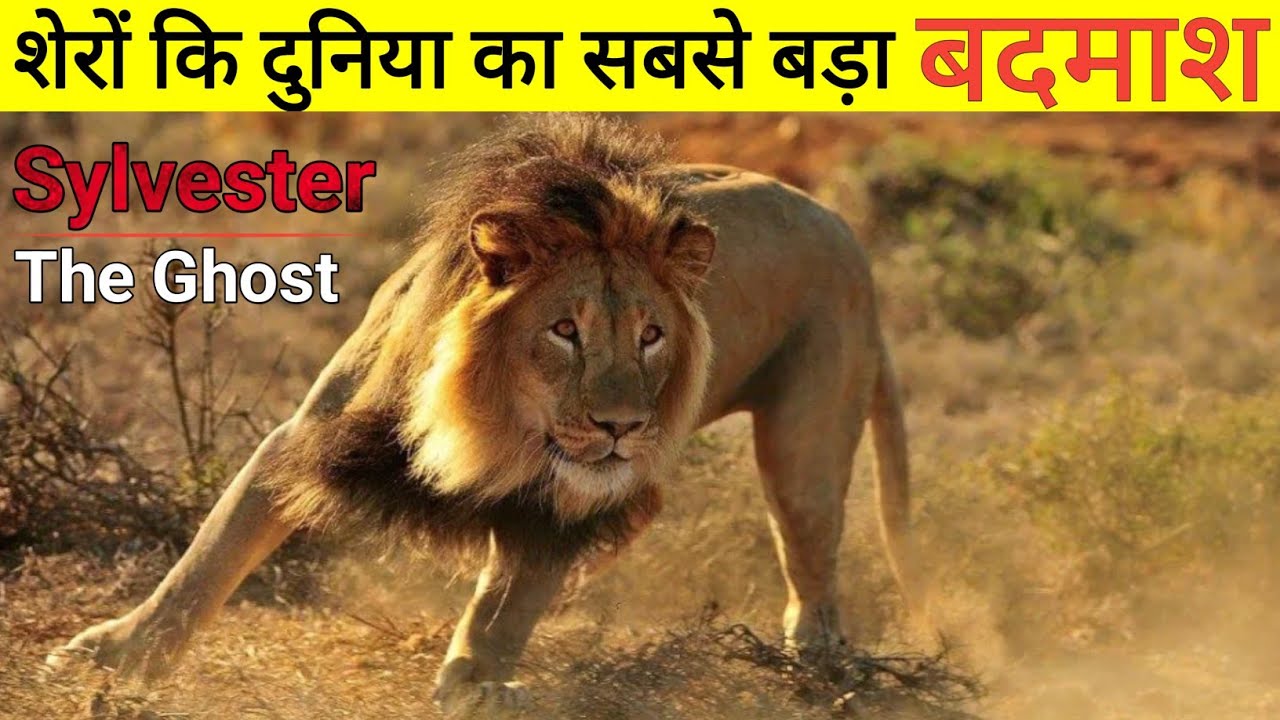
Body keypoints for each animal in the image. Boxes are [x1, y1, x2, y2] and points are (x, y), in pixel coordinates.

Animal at [48, 114, 923, 716]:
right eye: (564, 330)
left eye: (651, 336)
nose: (622, 426)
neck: (493, 427)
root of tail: (846, 231)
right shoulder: (308, 438)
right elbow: (206, 561)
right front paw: (114, 652)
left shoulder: (562, 501)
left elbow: (510, 601)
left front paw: (476, 680)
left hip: (804, 445)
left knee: (809, 557)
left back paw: (816, 659)